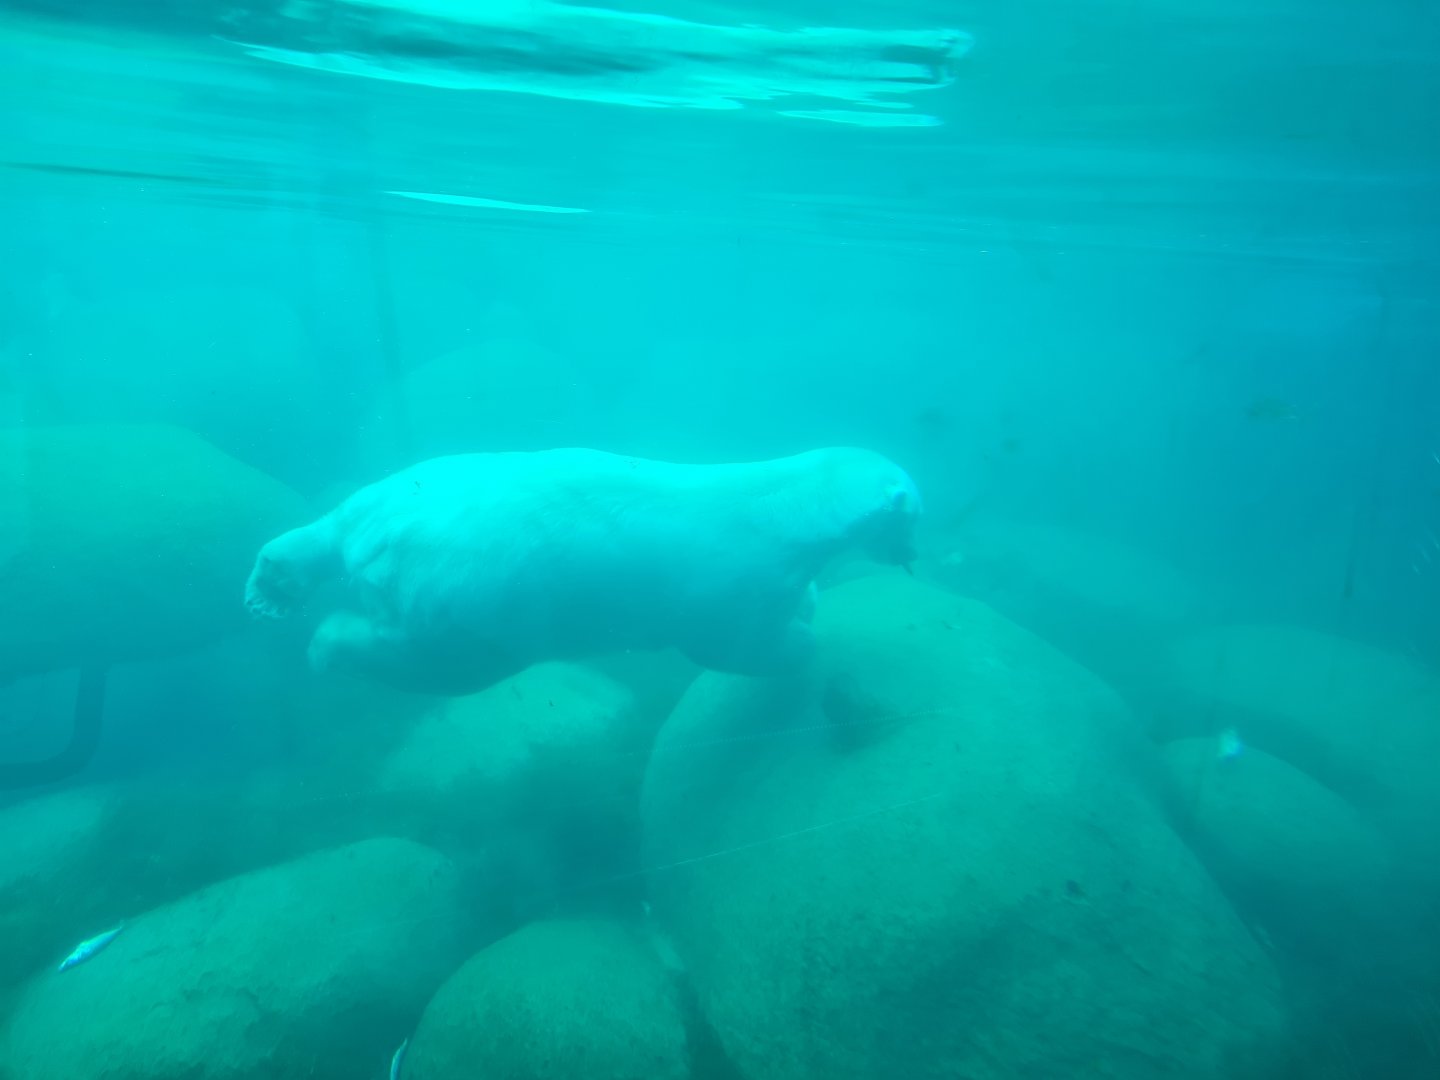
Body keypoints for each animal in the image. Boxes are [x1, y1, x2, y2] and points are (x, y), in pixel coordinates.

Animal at [244, 446, 921, 695]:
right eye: (919, 514)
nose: (912, 556)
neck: (784, 506)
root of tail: (383, 539)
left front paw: (811, 604)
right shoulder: (733, 584)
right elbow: (738, 646)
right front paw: (807, 640)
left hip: (411, 484)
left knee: (328, 527)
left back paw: (271, 584)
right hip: (473, 606)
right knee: (420, 657)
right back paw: (324, 646)